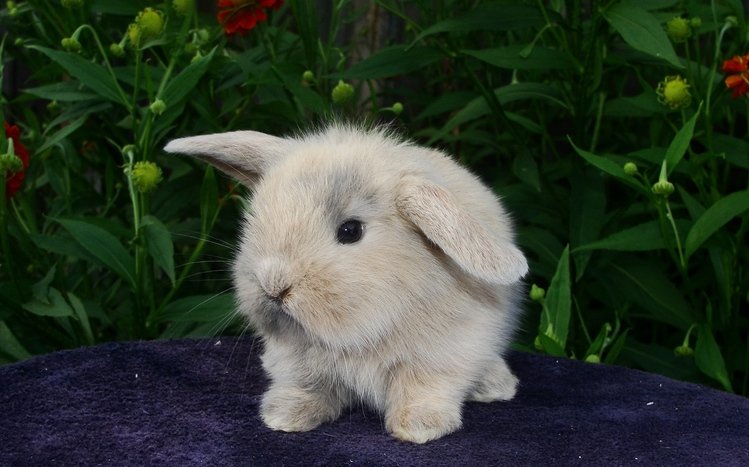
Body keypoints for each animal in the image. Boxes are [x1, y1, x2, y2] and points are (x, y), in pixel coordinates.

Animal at [164, 124, 528, 444]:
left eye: (350, 231)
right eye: (256, 219)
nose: (273, 285)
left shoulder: (444, 355)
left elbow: (424, 388)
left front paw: (418, 427)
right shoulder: (297, 361)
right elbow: (306, 386)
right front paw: (284, 416)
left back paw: (498, 386)